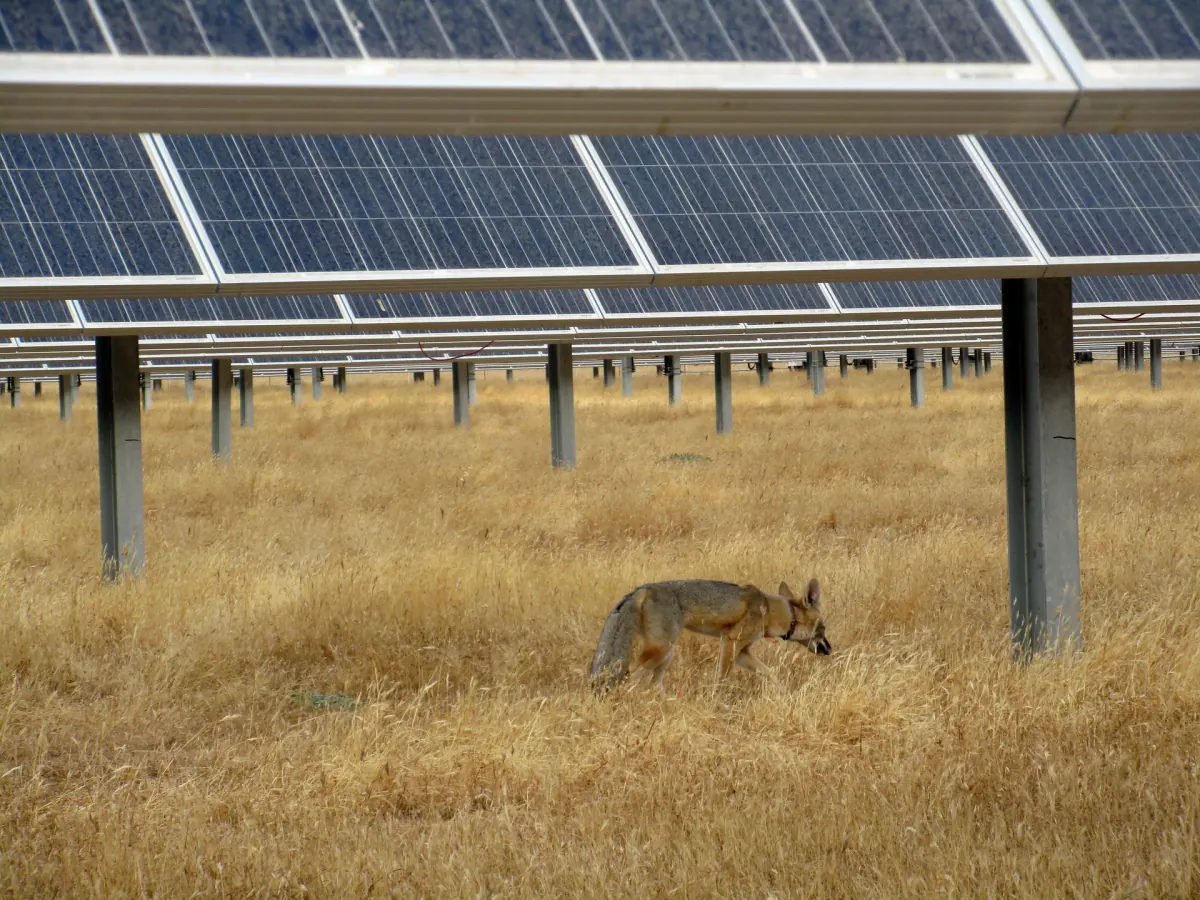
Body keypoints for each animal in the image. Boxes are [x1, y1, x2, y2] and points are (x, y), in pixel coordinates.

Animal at [590, 578, 830, 692]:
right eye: (823, 628)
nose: (830, 649)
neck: (768, 608)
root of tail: (642, 588)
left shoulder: (742, 652)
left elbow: (770, 673)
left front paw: (785, 695)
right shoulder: (731, 643)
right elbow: (721, 679)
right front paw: (718, 703)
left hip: (666, 654)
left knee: (651, 685)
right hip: (662, 650)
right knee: (629, 676)